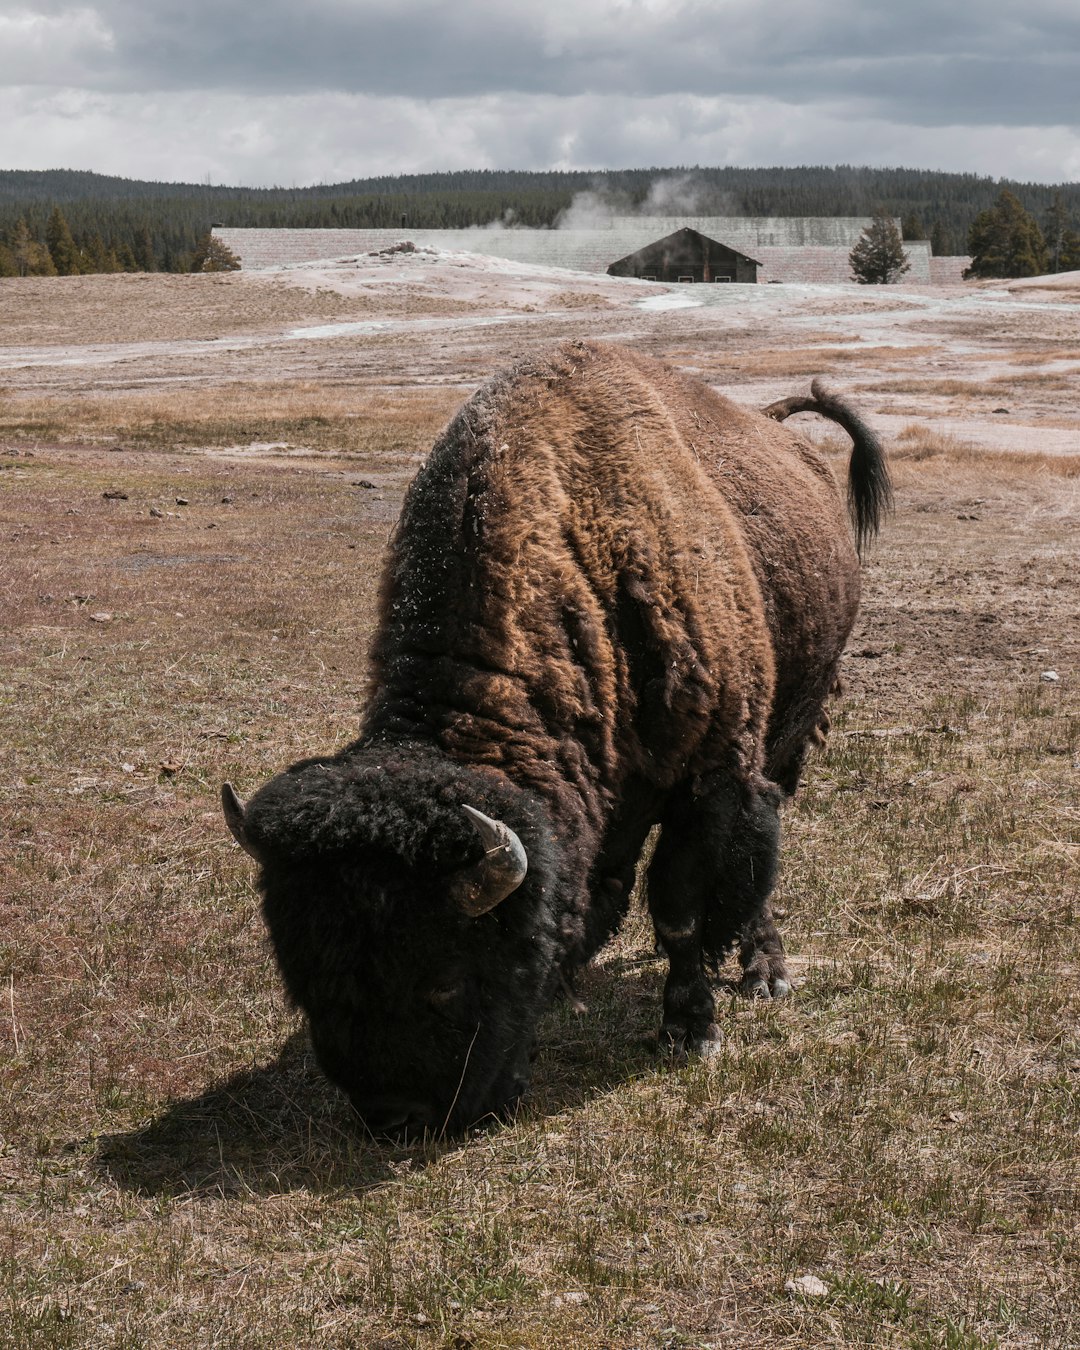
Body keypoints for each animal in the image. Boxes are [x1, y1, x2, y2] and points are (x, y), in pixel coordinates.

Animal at [218, 332, 885, 1134]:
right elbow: (604, 883)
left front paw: (690, 1030)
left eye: (447, 979)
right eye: (306, 976)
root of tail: (789, 440)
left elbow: (680, 909)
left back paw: (765, 972)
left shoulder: (708, 779)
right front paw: (569, 987)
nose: (396, 1117)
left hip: (785, 740)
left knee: (760, 859)